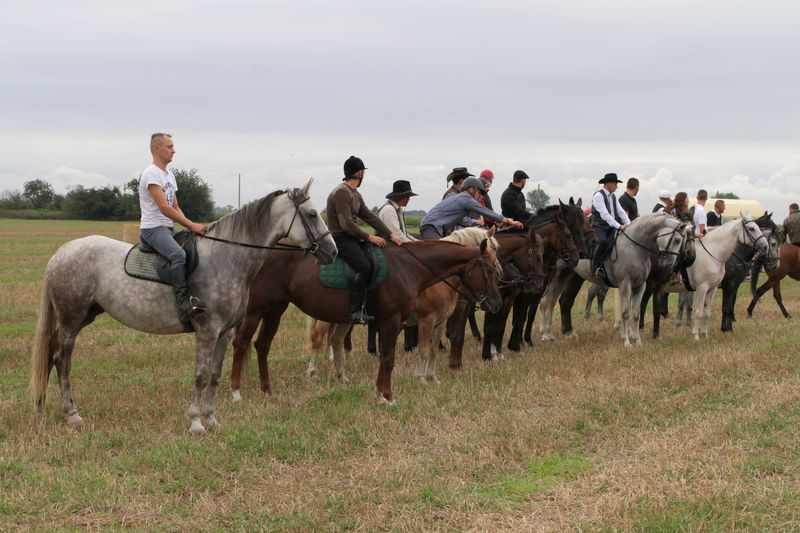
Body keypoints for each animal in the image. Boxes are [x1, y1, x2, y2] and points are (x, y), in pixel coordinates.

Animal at [29, 181, 336, 434]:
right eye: (312, 214)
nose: (332, 251)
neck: (226, 258)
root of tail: (61, 252)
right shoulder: (207, 331)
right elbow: (201, 376)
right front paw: (196, 423)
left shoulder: (224, 332)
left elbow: (215, 375)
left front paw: (212, 419)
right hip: (72, 319)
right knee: (62, 358)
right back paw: (72, 413)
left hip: (84, 316)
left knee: (50, 353)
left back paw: (42, 406)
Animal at [228, 229, 500, 404]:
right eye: (488, 269)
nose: (496, 303)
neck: (409, 269)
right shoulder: (401, 321)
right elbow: (391, 358)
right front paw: (389, 395)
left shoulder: (431, 322)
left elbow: (420, 353)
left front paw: (387, 391)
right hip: (257, 309)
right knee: (243, 344)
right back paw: (237, 392)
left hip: (277, 308)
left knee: (264, 345)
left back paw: (268, 391)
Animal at [572, 214, 692, 348]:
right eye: (677, 240)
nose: (670, 264)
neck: (635, 249)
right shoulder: (626, 285)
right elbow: (625, 312)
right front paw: (627, 342)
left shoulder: (640, 286)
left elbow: (636, 313)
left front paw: (638, 341)